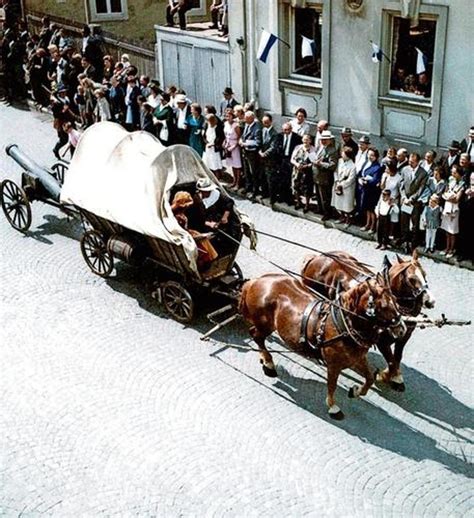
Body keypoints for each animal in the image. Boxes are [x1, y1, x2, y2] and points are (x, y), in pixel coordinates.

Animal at [239, 274, 406, 420]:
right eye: (383, 306)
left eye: (396, 302)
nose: (402, 329)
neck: (344, 324)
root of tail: (255, 281)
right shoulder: (333, 364)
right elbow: (332, 385)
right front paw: (333, 407)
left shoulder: (356, 359)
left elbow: (370, 377)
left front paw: (356, 391)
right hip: (265, 324)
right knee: (256, 336)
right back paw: (269, 363)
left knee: (255, 335)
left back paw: (265, 360)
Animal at [302, 250, 436, 392]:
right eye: (411, 279)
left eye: (425, 275)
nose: (430, 301)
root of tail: (315, 258)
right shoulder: (382, 341)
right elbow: (391, 359)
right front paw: (390, 376)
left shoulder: (404, 336)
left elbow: (397, 356)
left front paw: (394, 375)